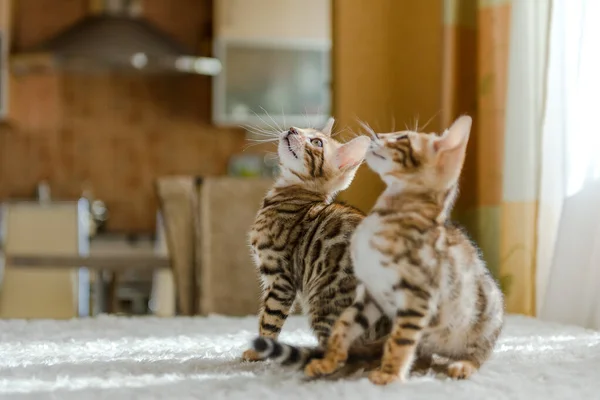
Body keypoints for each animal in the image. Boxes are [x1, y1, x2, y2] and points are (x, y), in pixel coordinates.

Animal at [241, 117, 392, 364]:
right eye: (303, 130)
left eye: (316, 142)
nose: (292, 129)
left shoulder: (280, 277)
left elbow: (269, 318)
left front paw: (258, 351)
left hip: (322, 301)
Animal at [304, 115, 506, 384]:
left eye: (402, 138)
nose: (376, 134)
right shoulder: (371, 292)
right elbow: (343, 325)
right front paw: (328, 361)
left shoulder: (417, 298)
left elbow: (400, 340)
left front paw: (388, 375)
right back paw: (418, 364)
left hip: (485, 320)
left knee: (479, 355)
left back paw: (462, 365)